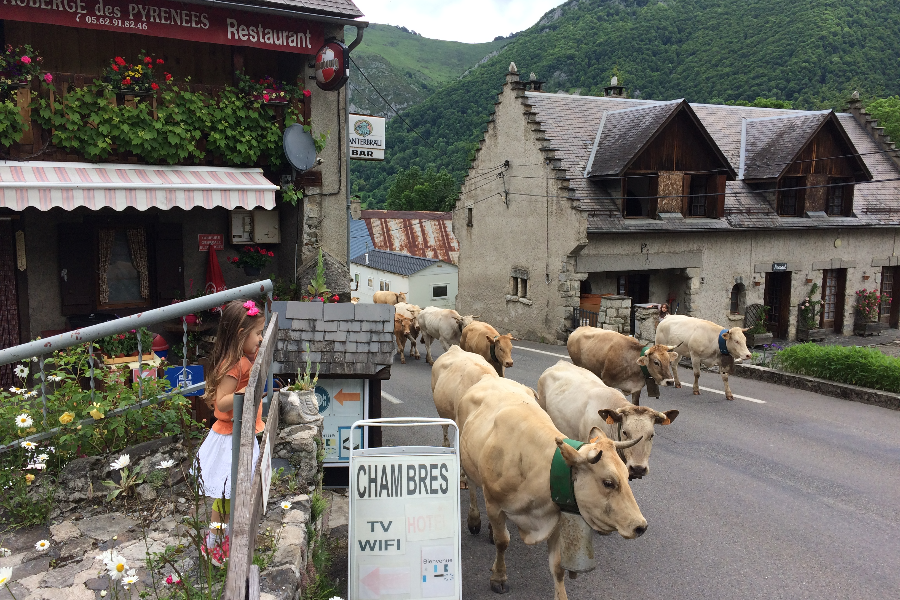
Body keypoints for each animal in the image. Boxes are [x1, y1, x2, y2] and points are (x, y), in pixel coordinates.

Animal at [458, 378, 648, 596]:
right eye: (608, 482)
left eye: (626, 476)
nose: (640, 526)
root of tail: (491, 378)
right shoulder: (494, 504)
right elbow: (502, 541)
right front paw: (499, 577)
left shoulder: (556, 516)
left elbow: (557, 567)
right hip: (468, 463)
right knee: (473, 488)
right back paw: (474, 520)